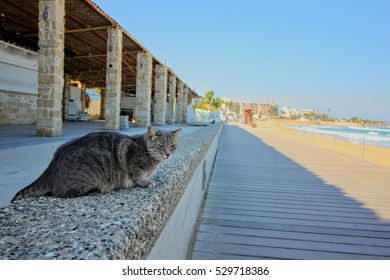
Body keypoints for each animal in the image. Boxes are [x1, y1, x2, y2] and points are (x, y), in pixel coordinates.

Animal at [11, 126, 182, 202]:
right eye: (161, 146)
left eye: (173, 146)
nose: (168, 154)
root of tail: (50, 168)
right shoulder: (133, 164)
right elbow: (139, 176)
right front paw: (148, 182)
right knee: (61, 192)